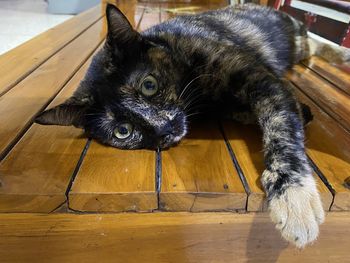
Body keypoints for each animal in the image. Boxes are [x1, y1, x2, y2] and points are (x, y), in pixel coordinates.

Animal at [34, 3, 348, 249]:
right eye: (123, 131)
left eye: (149, 85)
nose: (165, 129)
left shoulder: (264, 81)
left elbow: (281, 128)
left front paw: (295, 197)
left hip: (295, 38)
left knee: (314, 41)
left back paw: (341, 54)